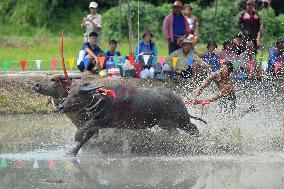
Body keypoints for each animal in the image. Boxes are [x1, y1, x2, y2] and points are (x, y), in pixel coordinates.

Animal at [59, 83, 206, 156]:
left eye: (77, 95)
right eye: (69, 92)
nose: (61, 106)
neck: (105, 100)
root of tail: (180, 100)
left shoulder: (107, 121)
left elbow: (87, 126)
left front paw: (77, 135)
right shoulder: (97, 124)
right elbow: (86, 136)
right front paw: (71, 152)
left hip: (183, 121)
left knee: (195, 129)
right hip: (167, 125)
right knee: (175, 134)